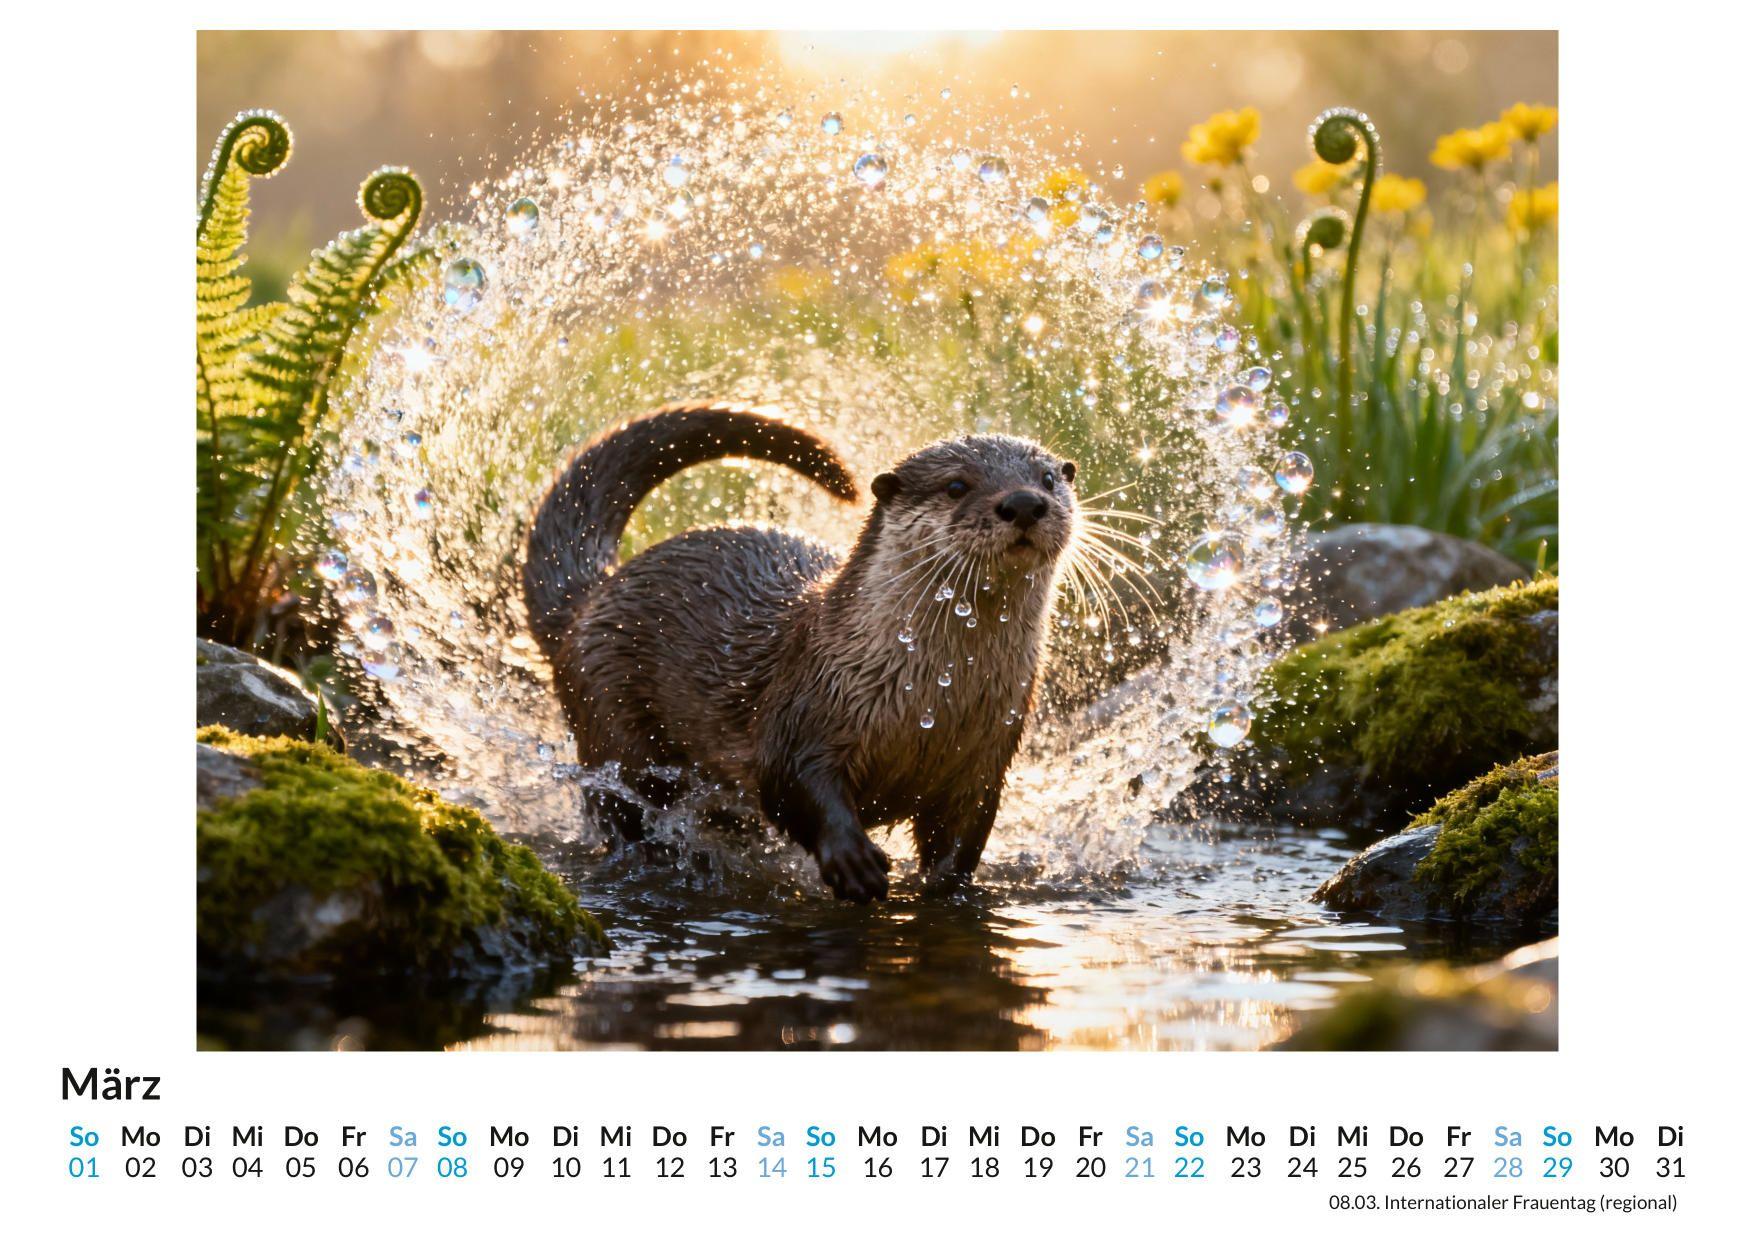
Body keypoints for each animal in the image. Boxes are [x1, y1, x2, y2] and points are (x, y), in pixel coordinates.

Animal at [523, 402, 1077, 902]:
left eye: (1049, 478)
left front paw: (947, 889)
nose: (1024, 502)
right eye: (957, 486)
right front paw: (852, 861)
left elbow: (963, 835)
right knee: (622, 805)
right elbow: (790, 782)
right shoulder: (806, 704)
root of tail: (591, 597)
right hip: (608, 715)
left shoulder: (985, 756)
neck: (930, 703)